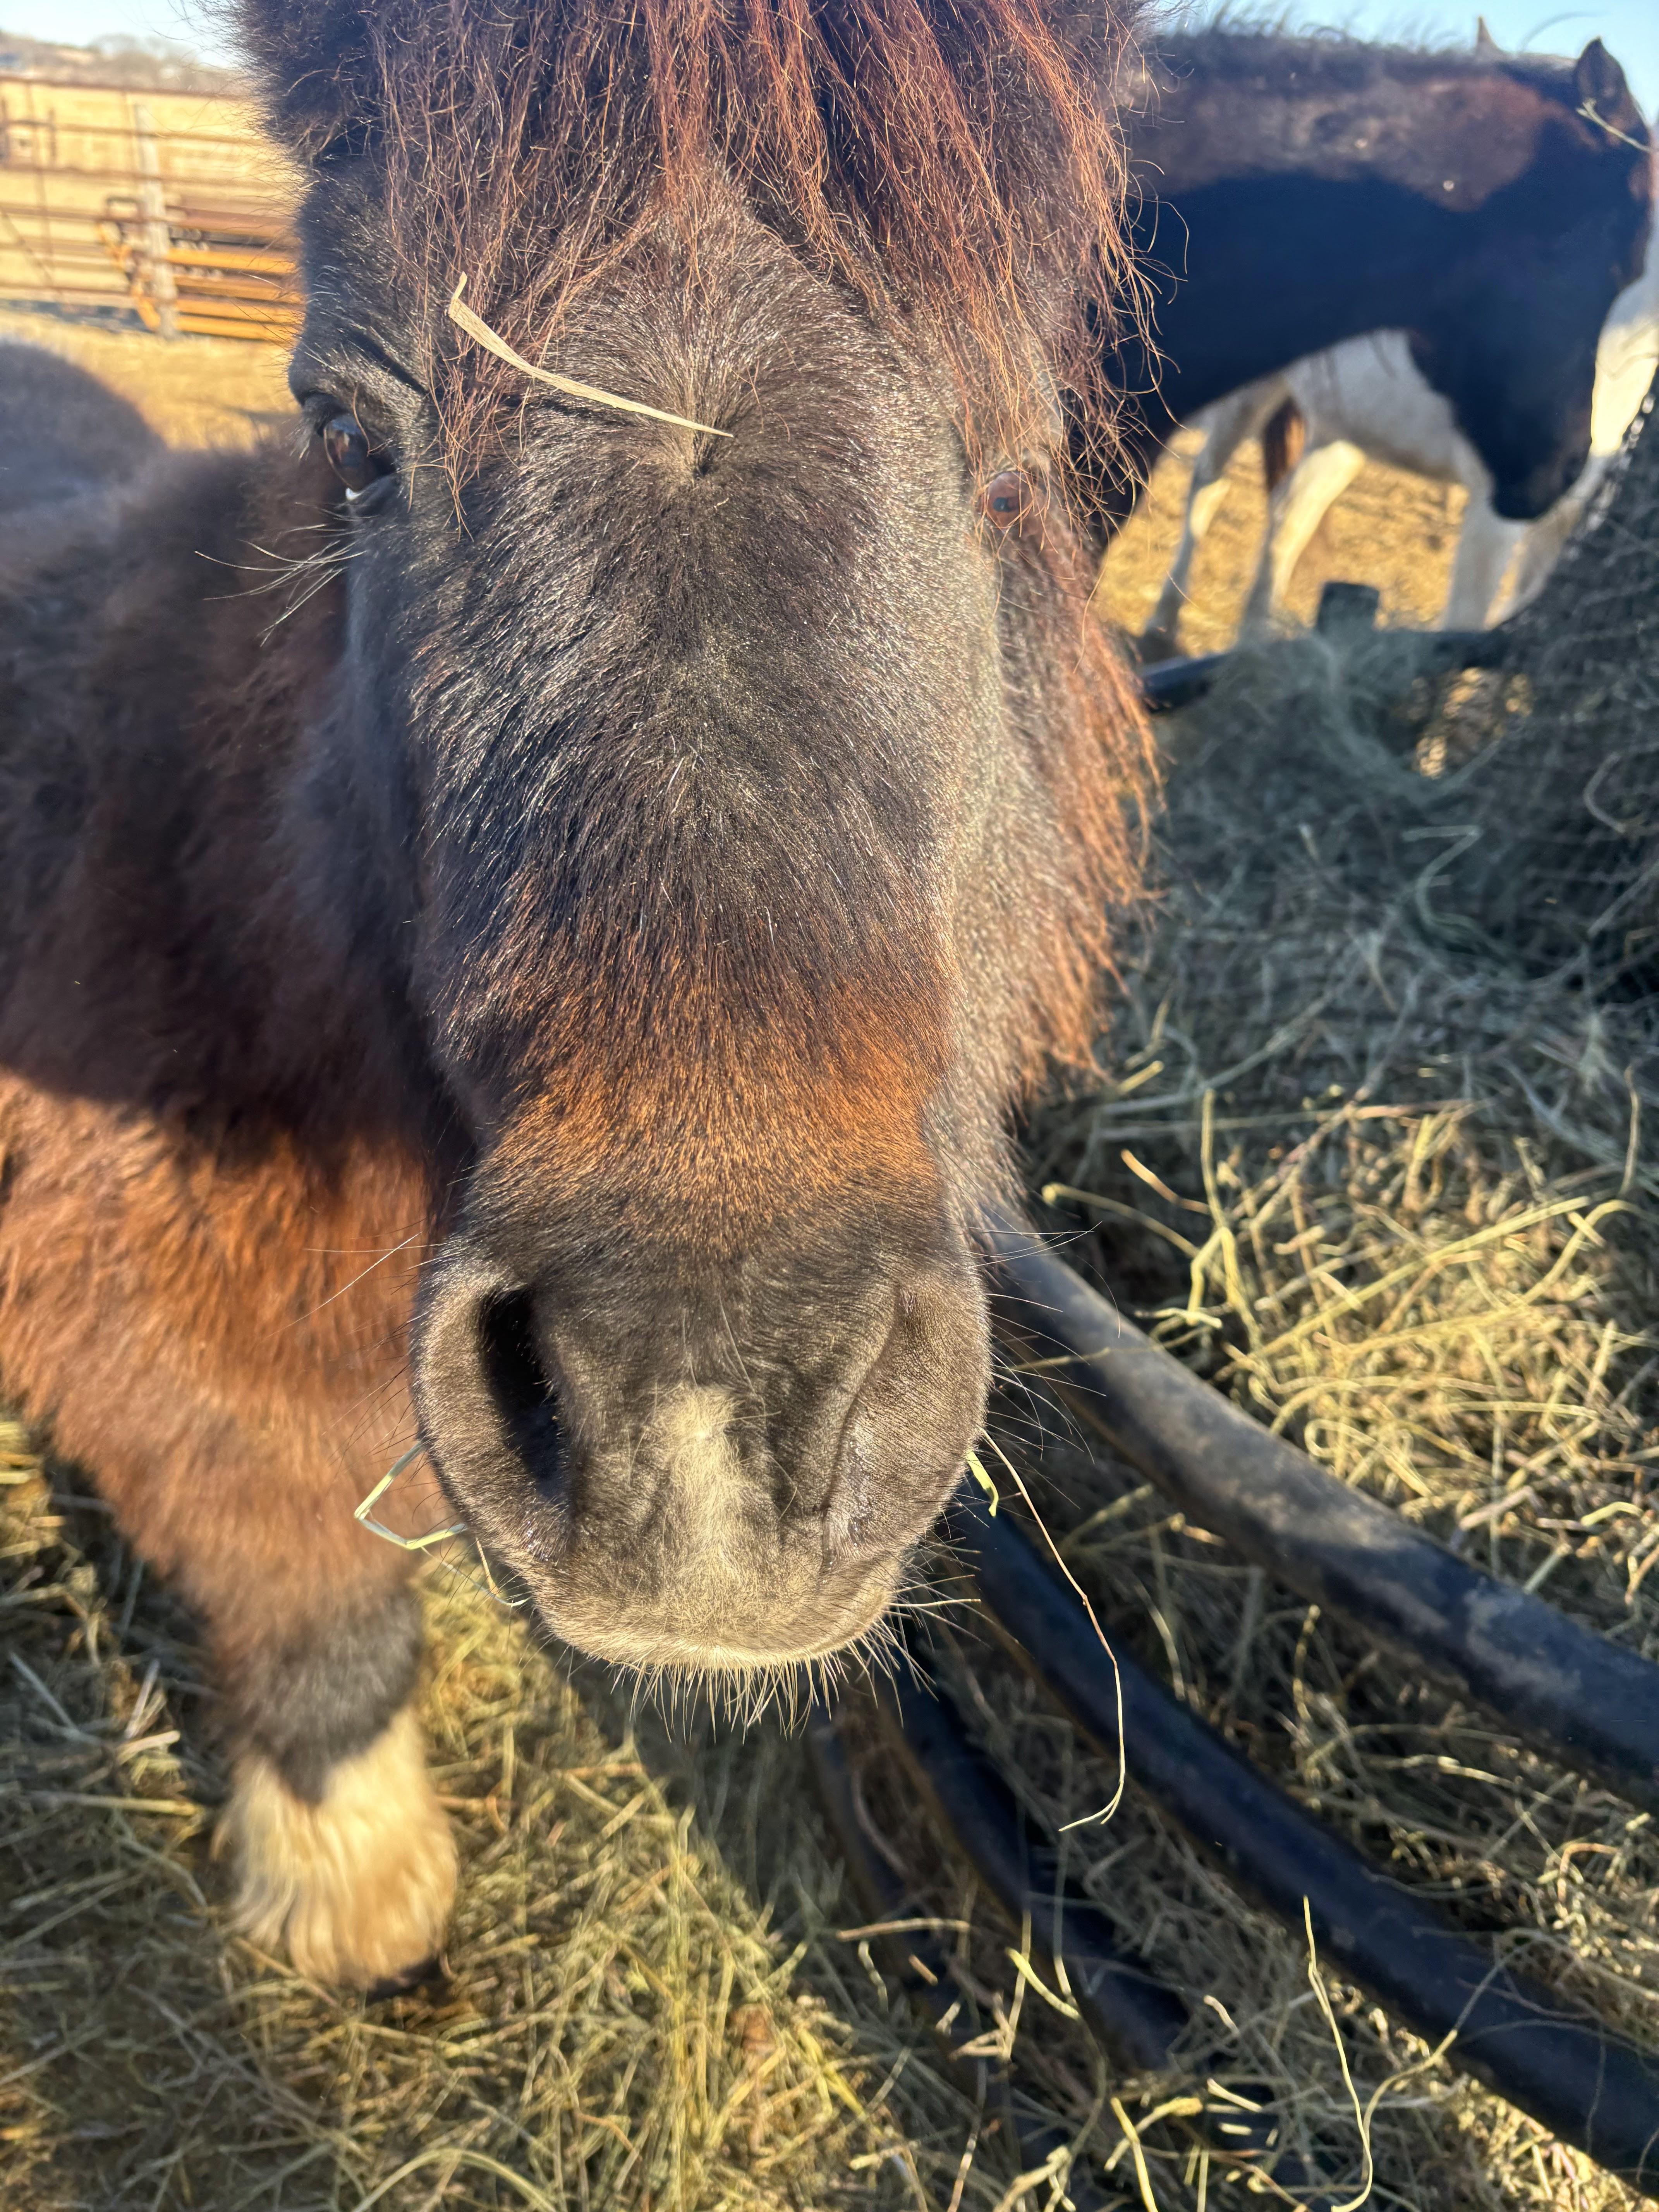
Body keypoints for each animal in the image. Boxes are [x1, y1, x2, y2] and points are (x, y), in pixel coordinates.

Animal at [0, 0, 1154, 1989]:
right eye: (350, 435)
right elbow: (317, 1614)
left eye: (1016, 465)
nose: (697, 1417)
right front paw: (355, 1892)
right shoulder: (179, 1390)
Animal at [1142, 185, 1659, 651]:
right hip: (1250, 393)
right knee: (1208, 486)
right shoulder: (1495, 513)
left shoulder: (1566, 523)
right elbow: (1464, 629)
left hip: (1341, 434)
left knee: (1290, 516)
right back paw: (1163, 625)